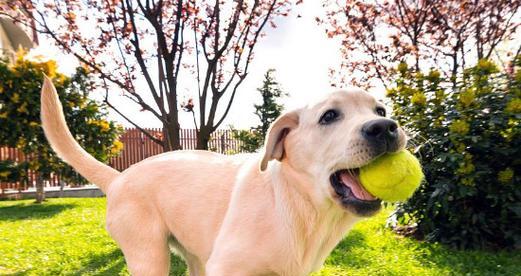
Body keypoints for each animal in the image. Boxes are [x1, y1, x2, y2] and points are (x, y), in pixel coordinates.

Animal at [40, 76, 406, 276]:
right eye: (329, 116)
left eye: (380, 110)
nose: (385, 127)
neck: (297, 205)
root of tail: (119, 177)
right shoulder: (227, 267)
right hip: (149, 256)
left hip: (193, 253)